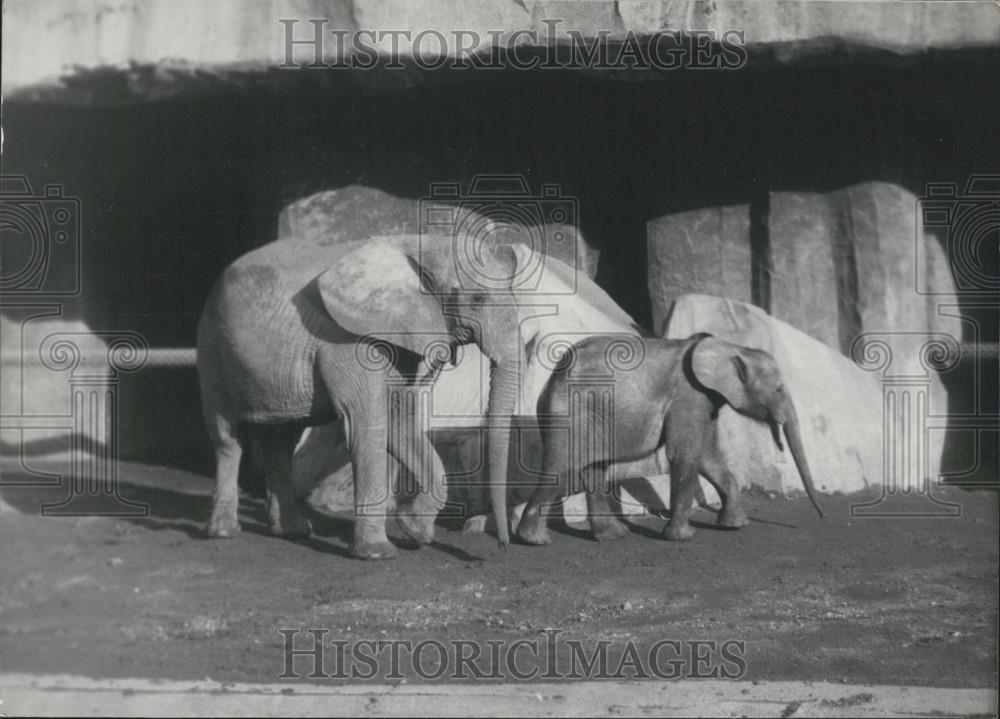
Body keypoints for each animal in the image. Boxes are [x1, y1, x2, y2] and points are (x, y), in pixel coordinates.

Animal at [512, 332, 824, 544]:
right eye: (780, 389)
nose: (821, 516)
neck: (730, 347)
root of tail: (553, 376)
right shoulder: (688, 396)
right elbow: (685, 455)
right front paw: (683, 537)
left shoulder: (706, 401)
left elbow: (708, 456)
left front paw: (735, 526)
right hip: (570, 415)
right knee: (563, 470)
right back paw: (534, 540)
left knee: (594, 470)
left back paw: (613, 536)